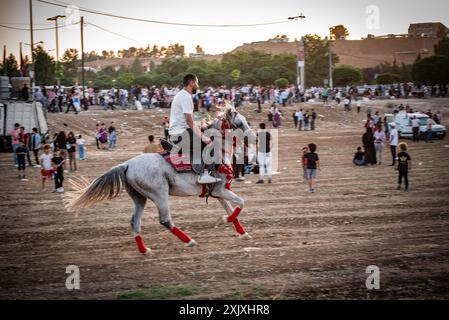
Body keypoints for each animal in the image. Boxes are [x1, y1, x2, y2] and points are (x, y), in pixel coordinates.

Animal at [66, 108, 256, 255]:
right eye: (239, 123)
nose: (255, 138)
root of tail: (126, 165)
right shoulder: (220, 190)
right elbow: (241, 203)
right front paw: (224, 220)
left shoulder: (218, 192)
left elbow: (233, 208)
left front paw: (243, 233)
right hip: (159, 194)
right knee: (165, 220)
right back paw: (190, 241)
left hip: (139, 198)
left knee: (135, 222)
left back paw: (144, 250)